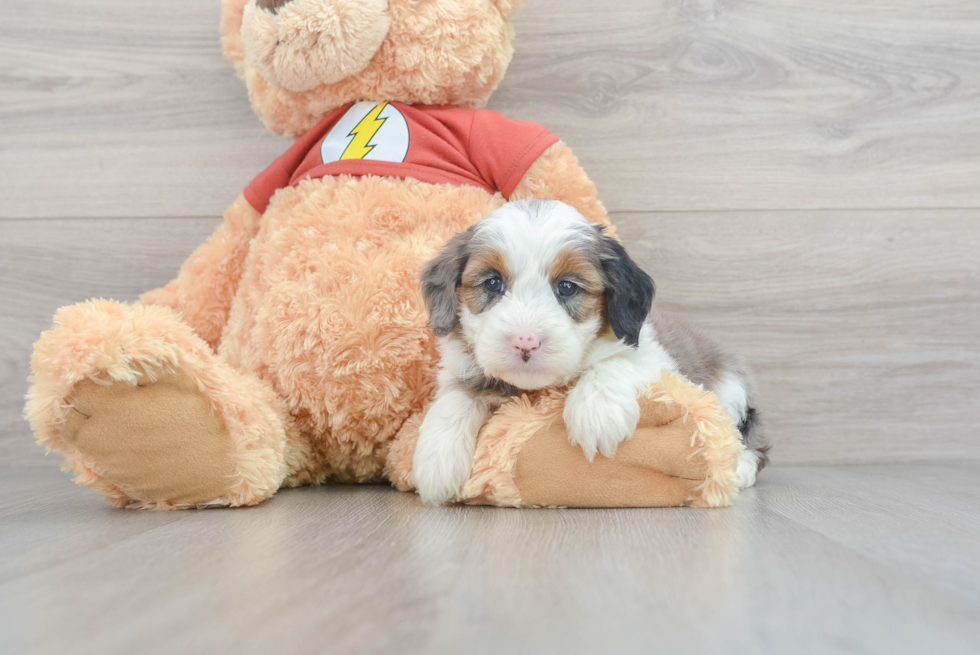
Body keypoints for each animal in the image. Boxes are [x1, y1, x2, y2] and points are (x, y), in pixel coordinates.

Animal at [410, 200, 768, 508]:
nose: (525, 342)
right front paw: (436, 461)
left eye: (567, 287)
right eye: (493, 283)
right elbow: (454, 399)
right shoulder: (462, 370)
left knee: (745, 440)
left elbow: (615, 363)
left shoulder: (653, 358)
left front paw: (597, 412)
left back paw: (740, 468)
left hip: (731, 391)